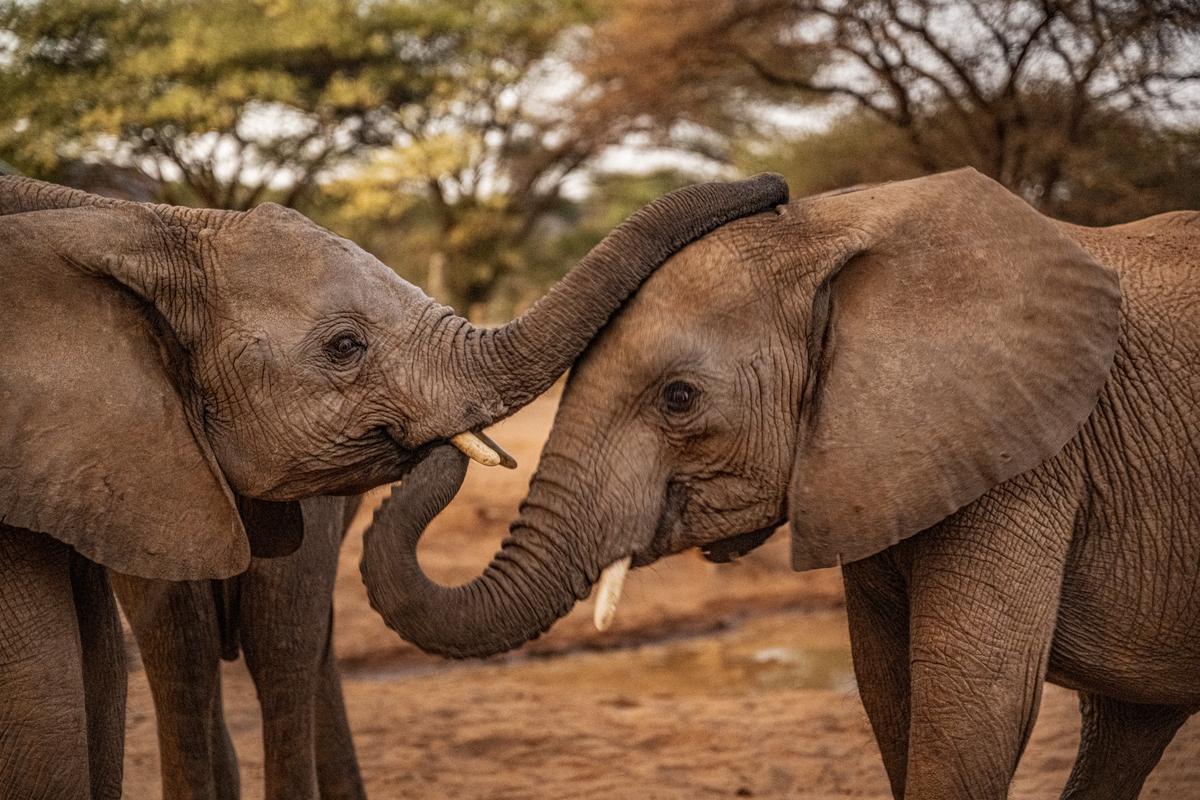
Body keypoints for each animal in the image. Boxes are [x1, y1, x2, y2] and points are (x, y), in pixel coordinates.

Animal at [364, 170, 1200, 800]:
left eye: (679, 399)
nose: (774, 183)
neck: (838, 236)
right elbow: (890, 695)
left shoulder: (1028, 459)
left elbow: (971, 715)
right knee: (1124, 728)